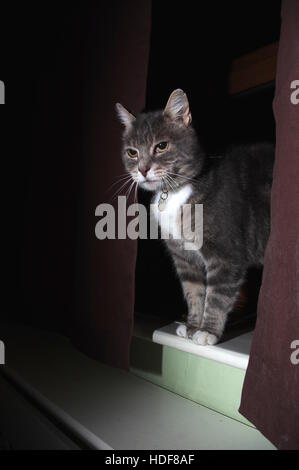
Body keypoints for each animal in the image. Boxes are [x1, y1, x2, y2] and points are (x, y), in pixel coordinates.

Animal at [116, 89, 276, 346]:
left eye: (161, 146)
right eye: (132, 152)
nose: (142, 169)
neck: (175, 192)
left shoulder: (225, 254)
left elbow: (217, 295)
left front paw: (208, 331)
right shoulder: (184, 257)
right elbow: (193, 291)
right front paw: (192, 326)